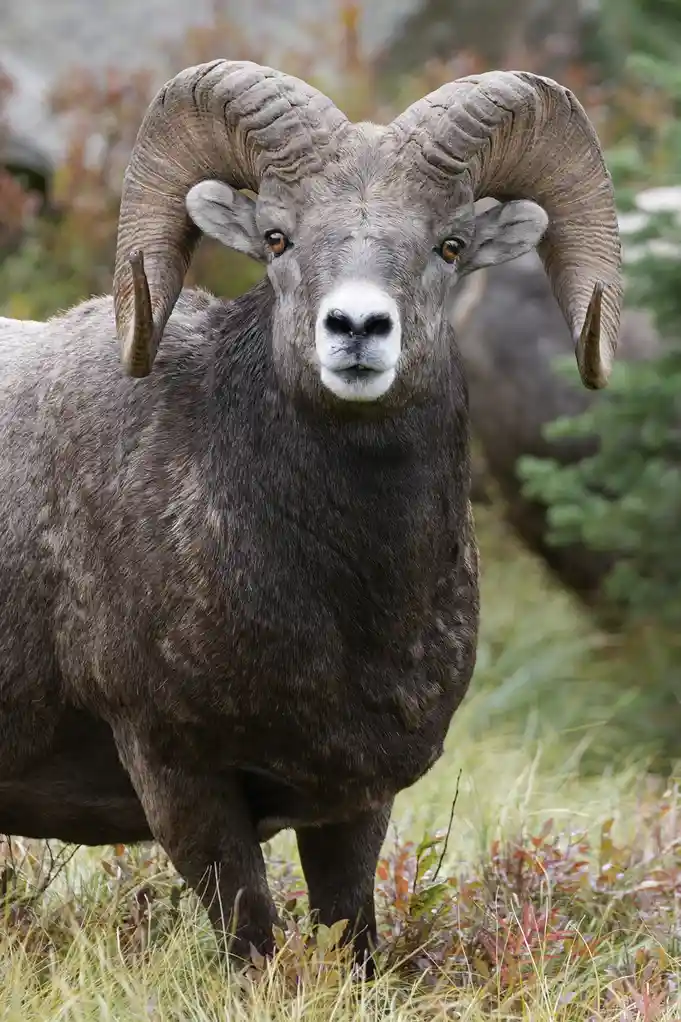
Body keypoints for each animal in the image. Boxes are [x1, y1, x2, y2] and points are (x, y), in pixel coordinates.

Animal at [0, 59, 622, 967]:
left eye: (448, 245)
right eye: (276, 239)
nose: (357, 327)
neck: (340, 602)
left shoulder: (355, 803)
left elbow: (348, 934)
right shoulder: (180, 780)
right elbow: (251, 937)